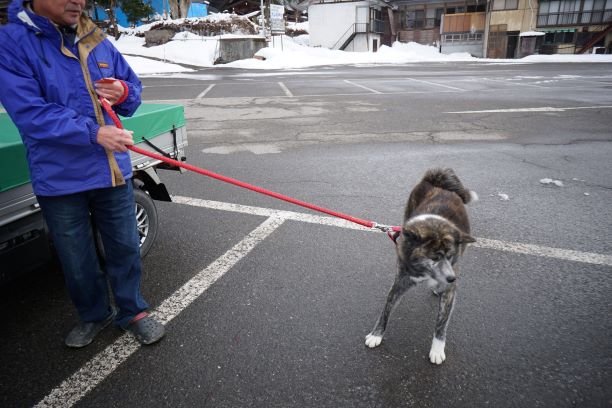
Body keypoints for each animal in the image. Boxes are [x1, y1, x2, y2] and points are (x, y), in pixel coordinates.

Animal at [366, 167, 476, 364]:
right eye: (435, 257)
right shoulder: (400, 281)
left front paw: (437, 349)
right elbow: (386, 309)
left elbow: (441, 323)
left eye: (450, 256)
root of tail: (437, 181)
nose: (452, 278)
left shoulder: (450, 290)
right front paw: (376, 334)